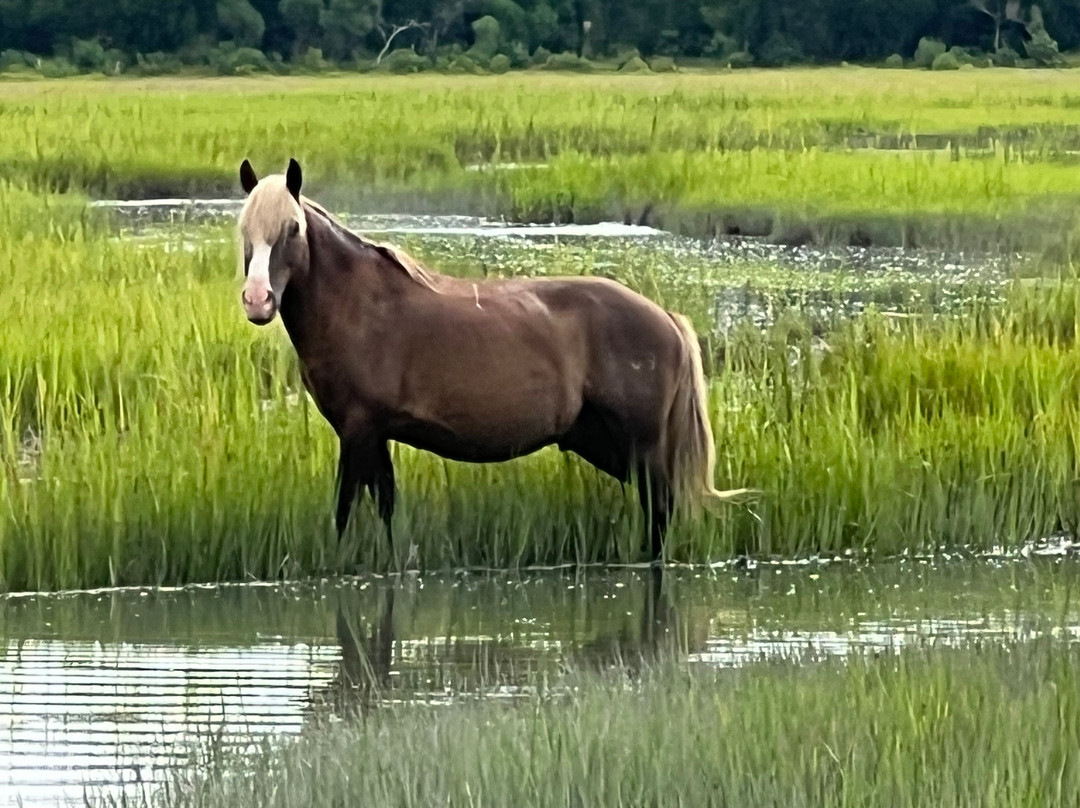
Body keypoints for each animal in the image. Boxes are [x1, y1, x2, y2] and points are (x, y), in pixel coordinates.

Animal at [236, 158, 749, 562]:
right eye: (244, 231)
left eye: (292, 229)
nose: (258, 301)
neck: (359, 305)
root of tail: (666, 319)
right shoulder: (374, 436)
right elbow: (384, 510)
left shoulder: (358, 431)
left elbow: (345, 512)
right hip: (606, 445)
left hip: (641, 448)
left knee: (660, 513)